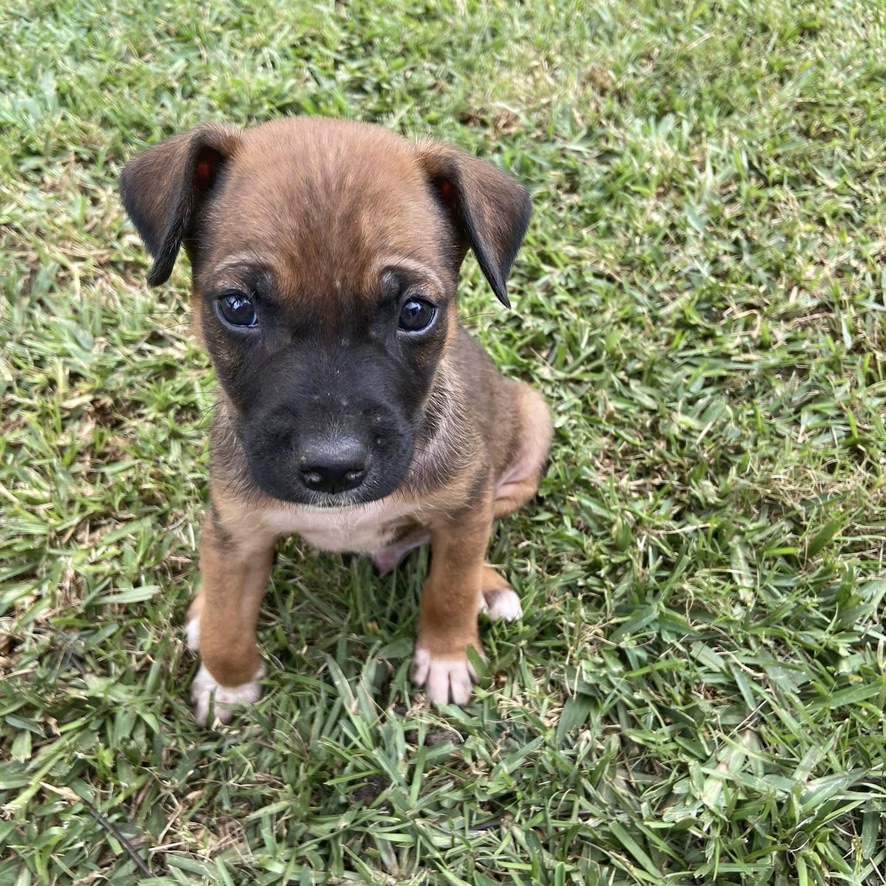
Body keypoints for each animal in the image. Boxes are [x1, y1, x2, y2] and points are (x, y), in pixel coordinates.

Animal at [121, 118, 552, 724]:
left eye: (415, 312)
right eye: (237, 307)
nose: (332, 469)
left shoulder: (465, 510)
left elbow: (450, 586)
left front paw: (447, 653)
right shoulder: (239, 530)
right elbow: (229, 619)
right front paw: (228, 679)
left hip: (531, 428)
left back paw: (487, 586)